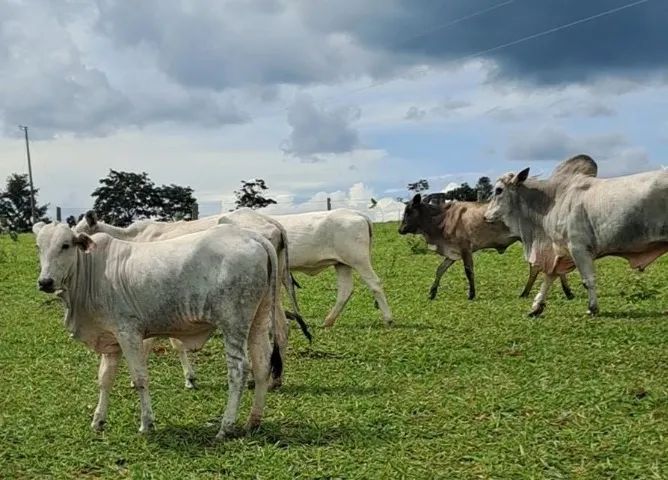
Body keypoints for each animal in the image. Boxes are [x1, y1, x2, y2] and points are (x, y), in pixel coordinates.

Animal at [33, 222, 281, 438]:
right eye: (38, 246)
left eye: (66, 245)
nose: (45, 282)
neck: (92, 271)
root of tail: (252, 236)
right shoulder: (111, 339)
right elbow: (105, 379)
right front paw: (98, 420)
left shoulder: (128, 333)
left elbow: (140, 378)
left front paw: (146, 423)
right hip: (259, 319)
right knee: (261, 363)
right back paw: (253, 421)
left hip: (233, 322)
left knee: (239, 369)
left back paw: (226, 426)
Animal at [74, 209, 309, 389]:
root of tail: (272, 223)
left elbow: (165, 343)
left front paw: (186, 378)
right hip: (271, 292)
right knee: (282, 328)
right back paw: (274, 379)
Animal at [398, 194, 573, 301]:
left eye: (409, 211)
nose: (400, 230)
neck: (442, 218)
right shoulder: (453, 253)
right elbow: (440, 270)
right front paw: (432, 292)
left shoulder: (466, 249)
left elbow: (468, 271)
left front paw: (471, 294)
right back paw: (562, 292)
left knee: (542, 265)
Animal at [484, 154, 668, 316]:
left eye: (499, 190)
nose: (486, 216)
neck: (550, 202)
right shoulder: (559, 250)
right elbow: (549, 277)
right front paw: (536, 306)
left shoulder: (578, 248)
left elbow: (588, 280)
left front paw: (592, 308)